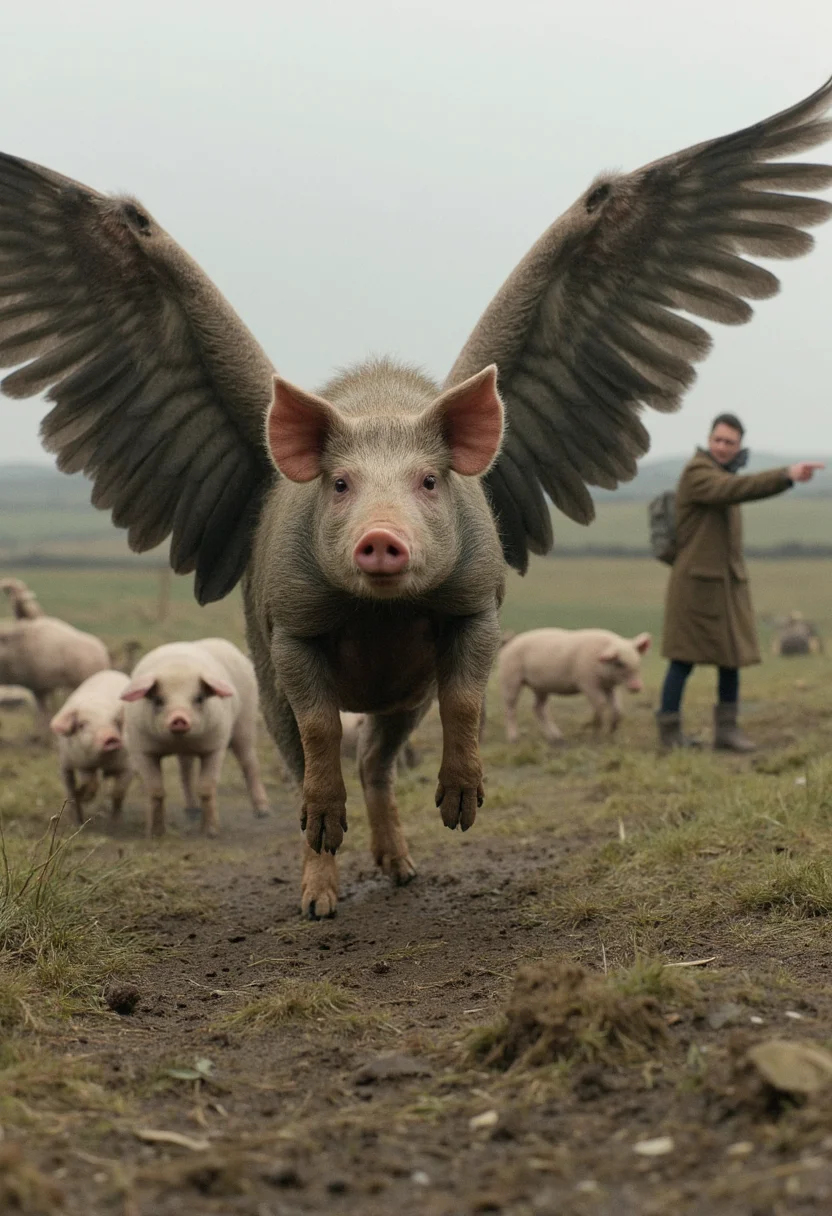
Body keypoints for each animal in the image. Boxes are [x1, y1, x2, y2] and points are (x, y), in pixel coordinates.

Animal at [50, 669, 132, 823]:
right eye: (82, 724)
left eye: (115, 721)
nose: (110, 736)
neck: (102, 761)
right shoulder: (82, 762)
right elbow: (90, 783)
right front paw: (82, 796)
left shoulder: (129, 765)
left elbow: (119, 791)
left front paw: (115, 820)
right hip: (65, 765)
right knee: (69, 784)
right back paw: (76, 819)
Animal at [121, 638, 270, 837]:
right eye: (158, 700)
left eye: (199, 698)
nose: (179, 719)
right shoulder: (142, 748)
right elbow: (156, 791)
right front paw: (155, 833)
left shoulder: (215, 746)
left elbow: (206, 788)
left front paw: (211, 832)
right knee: (186, 770)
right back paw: (191, 811)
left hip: (245, 720)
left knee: (249, 763)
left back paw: (263, 812)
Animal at [499, 629, 652, 743]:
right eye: (620, 663)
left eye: (637, 660)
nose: (637, 687)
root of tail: (509, 644)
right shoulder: (587, 682)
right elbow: (601, 703)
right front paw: (595, 733)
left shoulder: (609, 687)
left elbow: (618, 708)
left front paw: (612, 732)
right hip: (510, 678)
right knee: (510, 708)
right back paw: (514, 739)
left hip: (540, 687)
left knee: (538, 708)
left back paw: (556, 738)